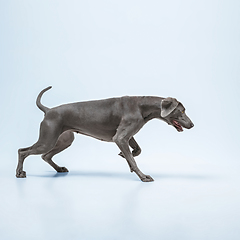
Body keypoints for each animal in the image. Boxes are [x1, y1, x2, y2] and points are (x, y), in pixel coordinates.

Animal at [16, 86, 193, 182]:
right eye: (182, 111)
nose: (192, 125)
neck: (142, 106)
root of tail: (48, 110)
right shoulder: (120, 137)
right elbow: (133, 159)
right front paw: (143, 176)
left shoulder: (127, 136)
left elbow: (136, 150)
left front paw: (125, 156)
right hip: (48, 138)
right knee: (23, 151)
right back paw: (19, 173)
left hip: (64, 139)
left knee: (45, 155)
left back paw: (59, 168)